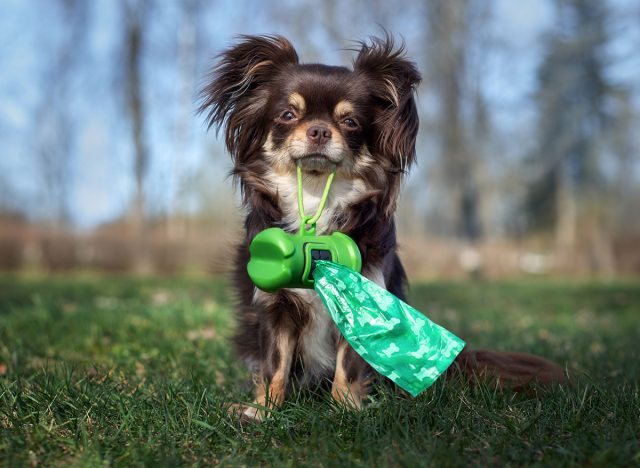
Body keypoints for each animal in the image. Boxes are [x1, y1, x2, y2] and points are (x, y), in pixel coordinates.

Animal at [200, 33, 564, 420]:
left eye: (350, 122)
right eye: (287, 115)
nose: (318, 130)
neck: (315, 196)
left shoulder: (365, 296)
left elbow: (348, 364)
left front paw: (346, 408)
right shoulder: (276, 307)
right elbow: (275, 363)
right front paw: (264, 410)